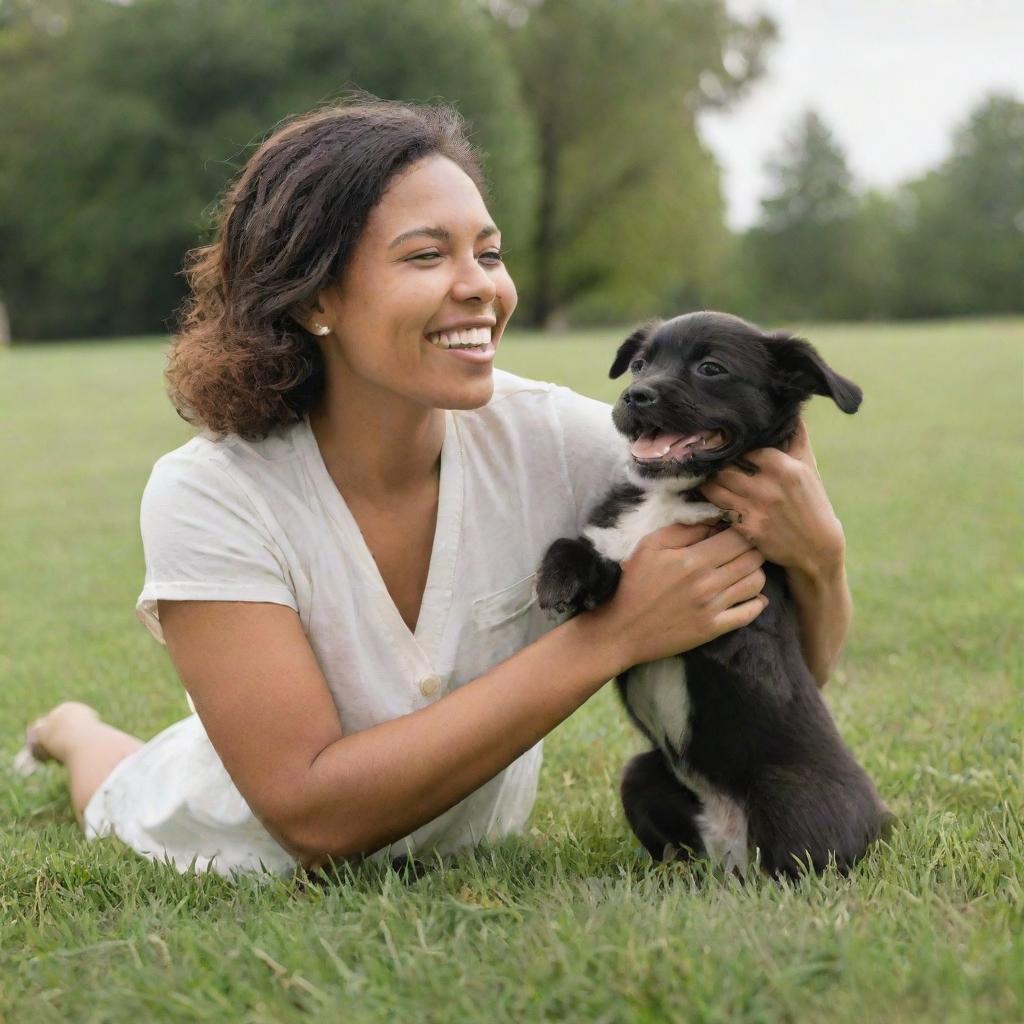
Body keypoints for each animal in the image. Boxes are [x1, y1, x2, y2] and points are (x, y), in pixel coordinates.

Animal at [536, 311, 888, 880]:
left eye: (711, 368)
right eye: (639, 364)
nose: (635, 396)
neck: (669, 496)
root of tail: (730, 848)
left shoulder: (743, 606)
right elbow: (581, 548)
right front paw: (559, 580)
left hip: (791, 794)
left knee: (801, 865)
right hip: (642, 774)